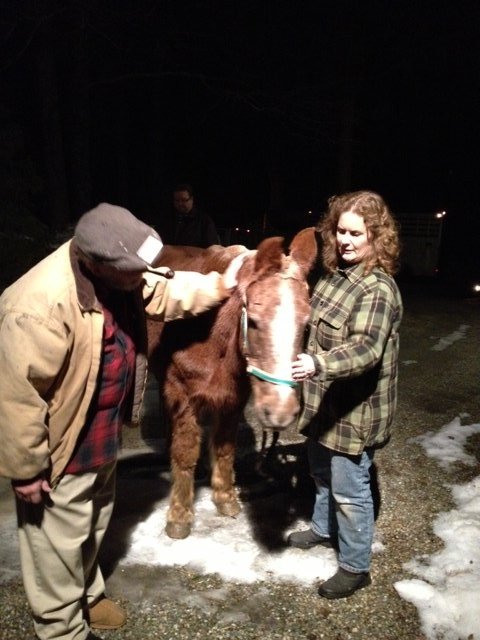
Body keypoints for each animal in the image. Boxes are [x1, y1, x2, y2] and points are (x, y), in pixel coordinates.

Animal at [148, 228, 316, 536]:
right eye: (255, 321)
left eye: (306, 325)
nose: (281, 412)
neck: (208, 330)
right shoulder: (180, 392)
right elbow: (184, 453)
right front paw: (179, 516)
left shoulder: (232, 399)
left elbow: (225, 448)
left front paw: (224, 497)